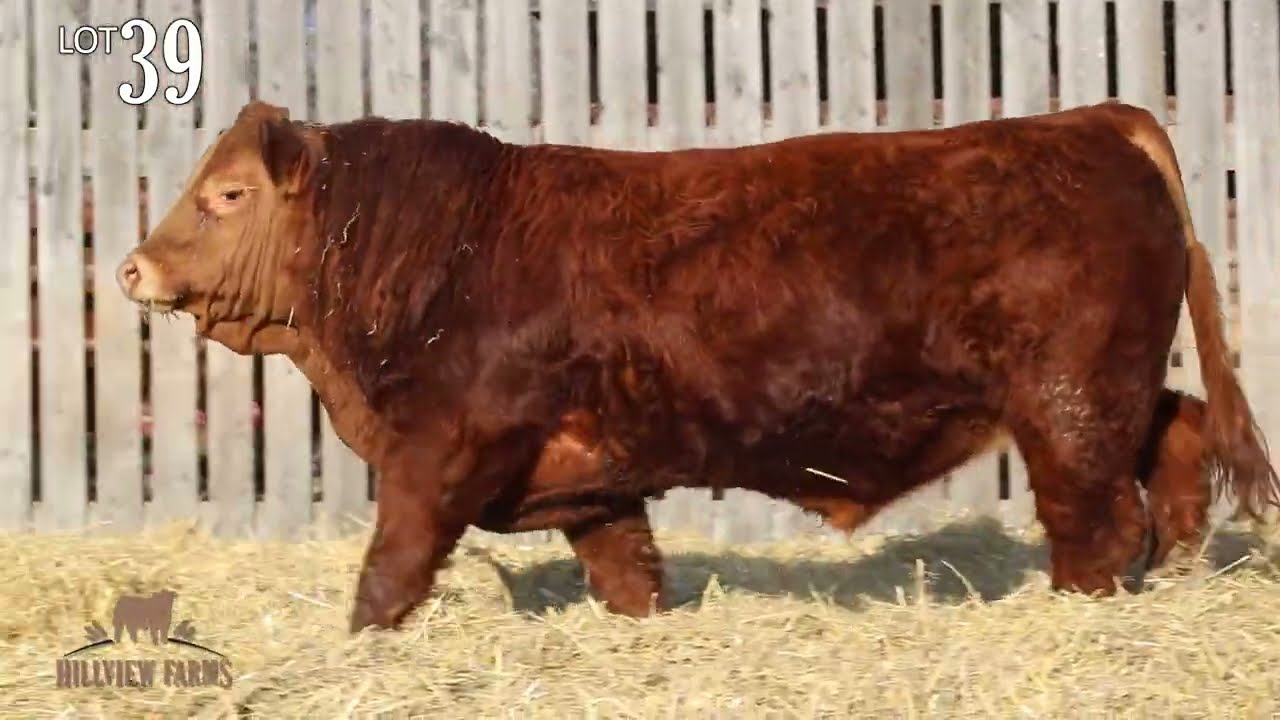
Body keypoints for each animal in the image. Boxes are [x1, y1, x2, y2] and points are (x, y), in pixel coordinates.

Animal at [115, 99, 1279, 633]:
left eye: (225, 195)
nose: (131, 266)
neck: (445, 249)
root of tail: (1089, 121)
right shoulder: (590, 477)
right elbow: (626, 571)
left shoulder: (440, 452)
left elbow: (389, 570)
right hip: (1110, 393)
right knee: (1176, 442)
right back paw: (1172, 575)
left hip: (1065, 407)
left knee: (1097, 519)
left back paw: (1084, 601)